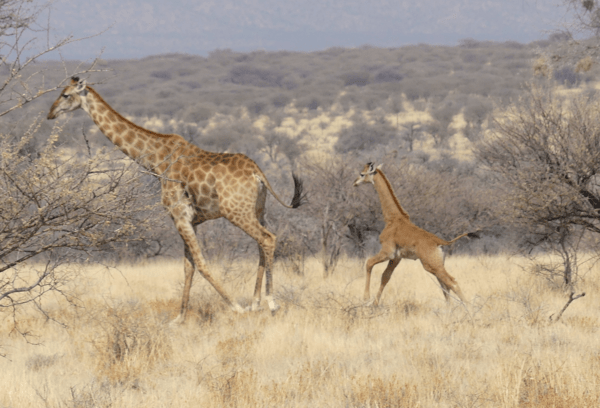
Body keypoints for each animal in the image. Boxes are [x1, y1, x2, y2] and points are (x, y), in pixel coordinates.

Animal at [45, 76, 304, 322]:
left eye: (65, 95)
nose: (50, 113)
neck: (156, 160)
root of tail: (257, 173)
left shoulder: (179, 216)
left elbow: (200, 263)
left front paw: (236, 308)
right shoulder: (191, 220)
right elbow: (188, 267)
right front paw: (179, 319)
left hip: (237, 212)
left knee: (268, 239)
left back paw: (270, 303)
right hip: (258, 210)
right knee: (261, 243)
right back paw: (255, 303)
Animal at [354, 163, 476, 306]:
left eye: (362, 174)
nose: (355, 182)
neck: (392, 219)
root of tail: (441, 242)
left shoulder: (388, 251)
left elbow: (369, 263)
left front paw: (366, 298)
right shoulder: (397, 257)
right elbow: (385, 276)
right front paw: (374, 304)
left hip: (431, 265)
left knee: (452, 282)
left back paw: (469, 307)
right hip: (437, 264)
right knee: (445, 285)